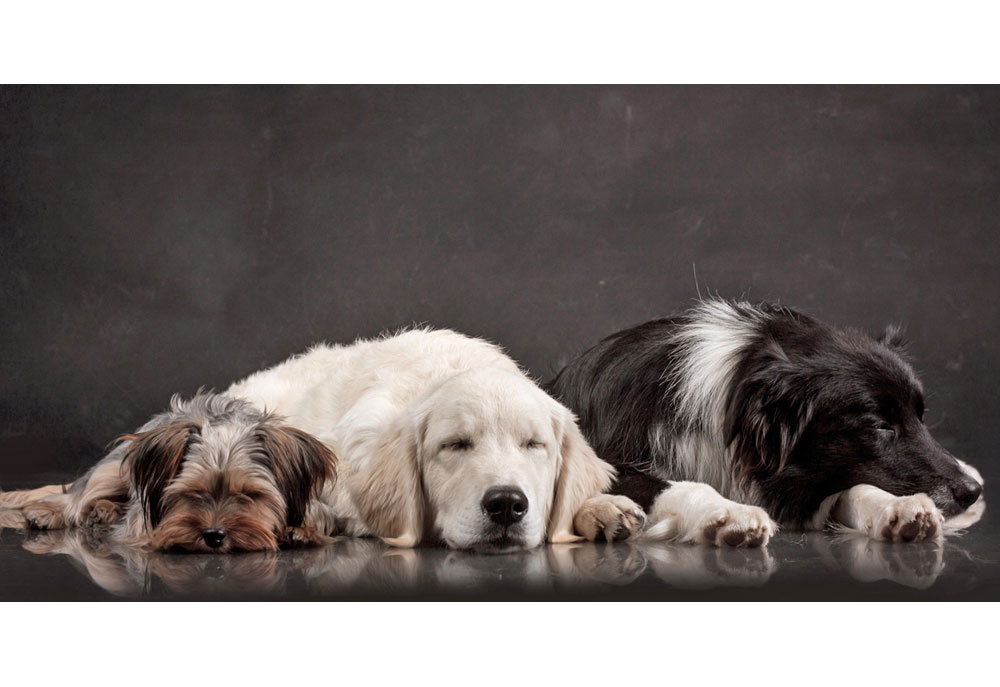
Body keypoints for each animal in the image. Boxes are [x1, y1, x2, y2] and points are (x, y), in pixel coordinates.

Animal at [0, 392, 338, 552]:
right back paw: (49, 512)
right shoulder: (144, 517)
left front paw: (301, 531)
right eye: (193, 493)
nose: (214, 536)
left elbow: (319, 518)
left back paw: (103, 512)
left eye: (250, 495)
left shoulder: (317, 501)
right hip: (113, 469)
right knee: (77, 495)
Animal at [548, 300, 984, 548]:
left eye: (920, 417)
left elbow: (855, 487)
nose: (972, 491)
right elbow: (673, 484)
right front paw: (727, 512)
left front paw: (897, 507)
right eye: (880, 426)